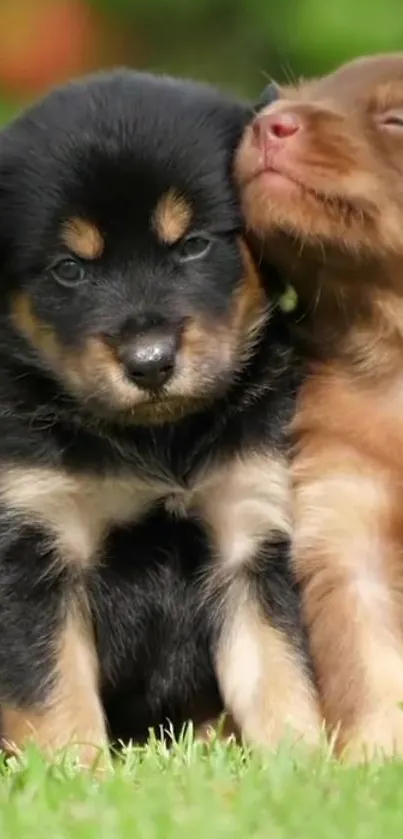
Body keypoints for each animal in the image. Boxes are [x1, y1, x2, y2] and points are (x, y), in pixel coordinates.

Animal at [0, 70, 322, 768]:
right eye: (69, 269)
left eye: (194, 245)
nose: (149, 364)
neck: (159, 438)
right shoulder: (33, 545)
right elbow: (52, 694)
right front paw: (79, 776)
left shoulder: (251, 536)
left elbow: (282, 673)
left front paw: (306, 770)